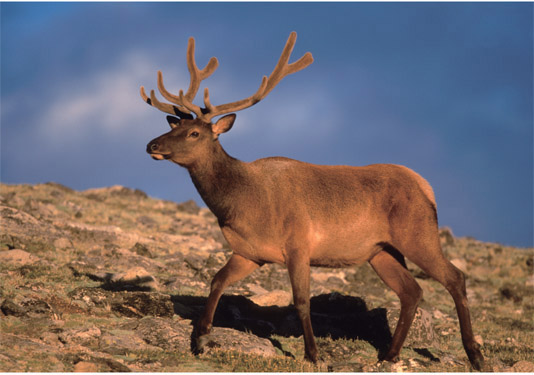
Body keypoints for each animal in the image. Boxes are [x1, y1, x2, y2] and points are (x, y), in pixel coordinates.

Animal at [140, 31, 488, 370]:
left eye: (194, 133)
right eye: (175, 125)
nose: (151, 145)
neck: (243, 204)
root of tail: (426, 187)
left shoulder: (298, 243)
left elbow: (301, 301)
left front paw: (313, 354)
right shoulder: (250, 252)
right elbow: (217, 281)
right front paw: (200, 338)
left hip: (418, 233)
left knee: (455, 277)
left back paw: (475, 354)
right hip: (381, 250)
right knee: (411, 290)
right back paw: (389, 355)